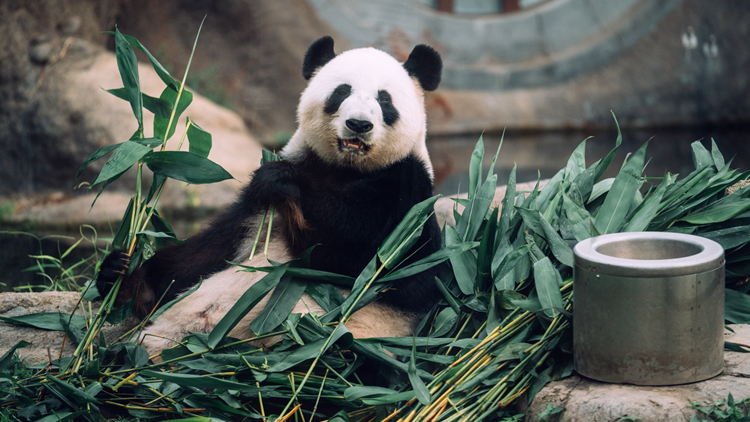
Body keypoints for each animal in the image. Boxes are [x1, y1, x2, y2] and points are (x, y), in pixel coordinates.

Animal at [96, 36, 444, 354]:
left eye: (385, 100)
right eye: (341, 91)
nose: (358, 124)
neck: (345, 168)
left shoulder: (406, 195)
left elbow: (360, 258)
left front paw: (284, 182)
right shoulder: (254, 211)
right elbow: (199, 257)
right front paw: (122, 276)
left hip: (352, 341)